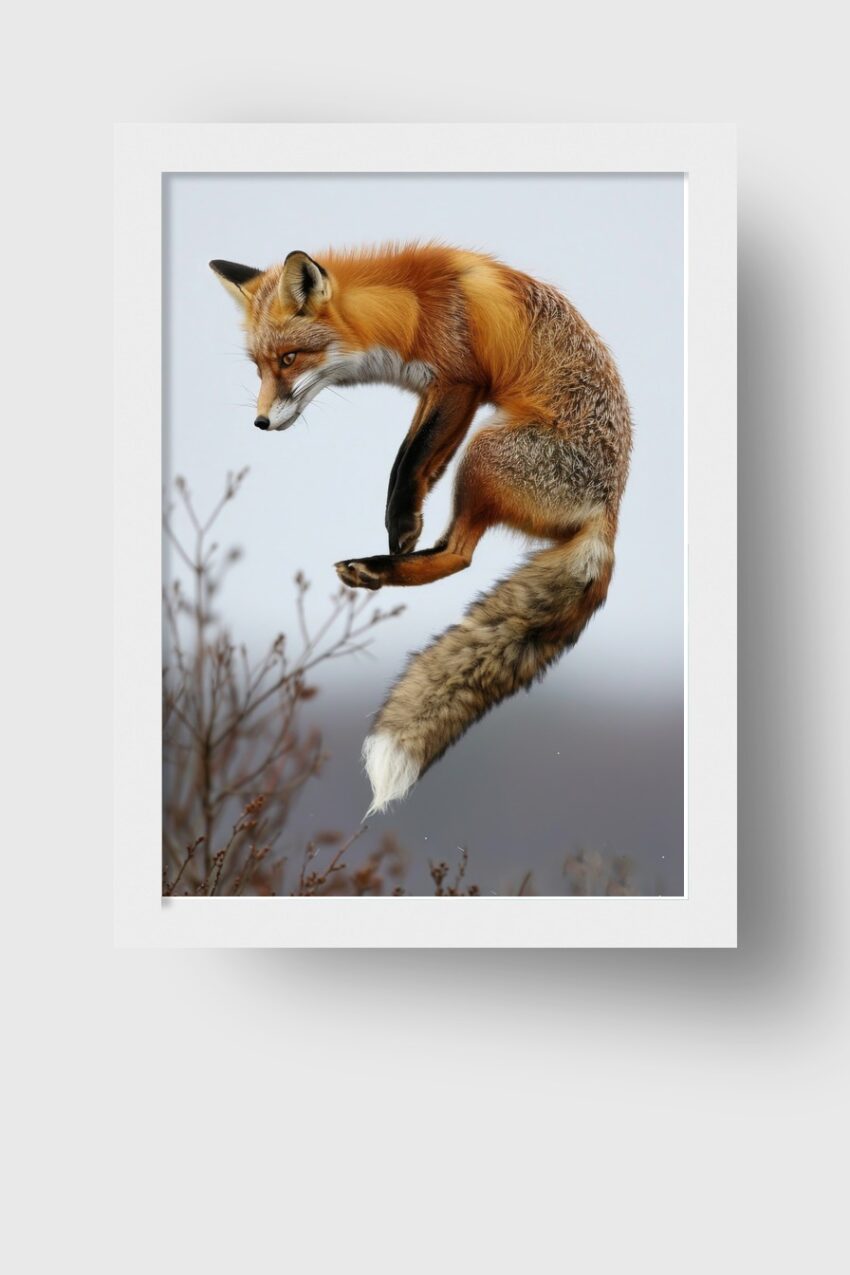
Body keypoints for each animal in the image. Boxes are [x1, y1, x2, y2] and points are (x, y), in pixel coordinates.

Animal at [210, 243, 631, 814]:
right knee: (456, 551)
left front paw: (402, 524)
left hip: (483, 452)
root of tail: (608, 512)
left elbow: (409, 462)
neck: (409, 307)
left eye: (290, 359)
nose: (260, 423)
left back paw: (379, 565)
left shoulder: (458, 381)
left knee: (460, 555)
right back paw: (379, 567)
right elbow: (408, 465)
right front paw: (405, 519)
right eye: (258, 366)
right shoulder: (431, 391)